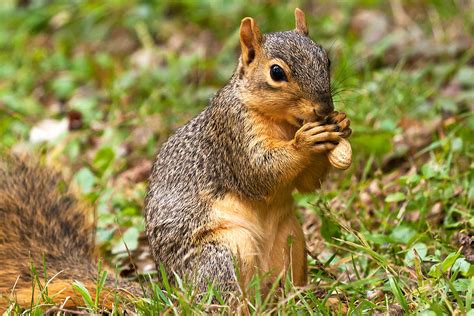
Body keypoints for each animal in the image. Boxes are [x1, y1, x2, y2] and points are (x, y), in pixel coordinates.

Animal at [0, 7, 352, 312]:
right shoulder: (231, 135)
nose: (324, 107)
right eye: (276, 72)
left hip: (291, 241)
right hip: (223, 253)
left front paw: (341, 124)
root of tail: (170, 294)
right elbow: (257, 173)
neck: (282, 121)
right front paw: (305, 142)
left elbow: (307, 184)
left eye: (326, 59)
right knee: (221, 302)